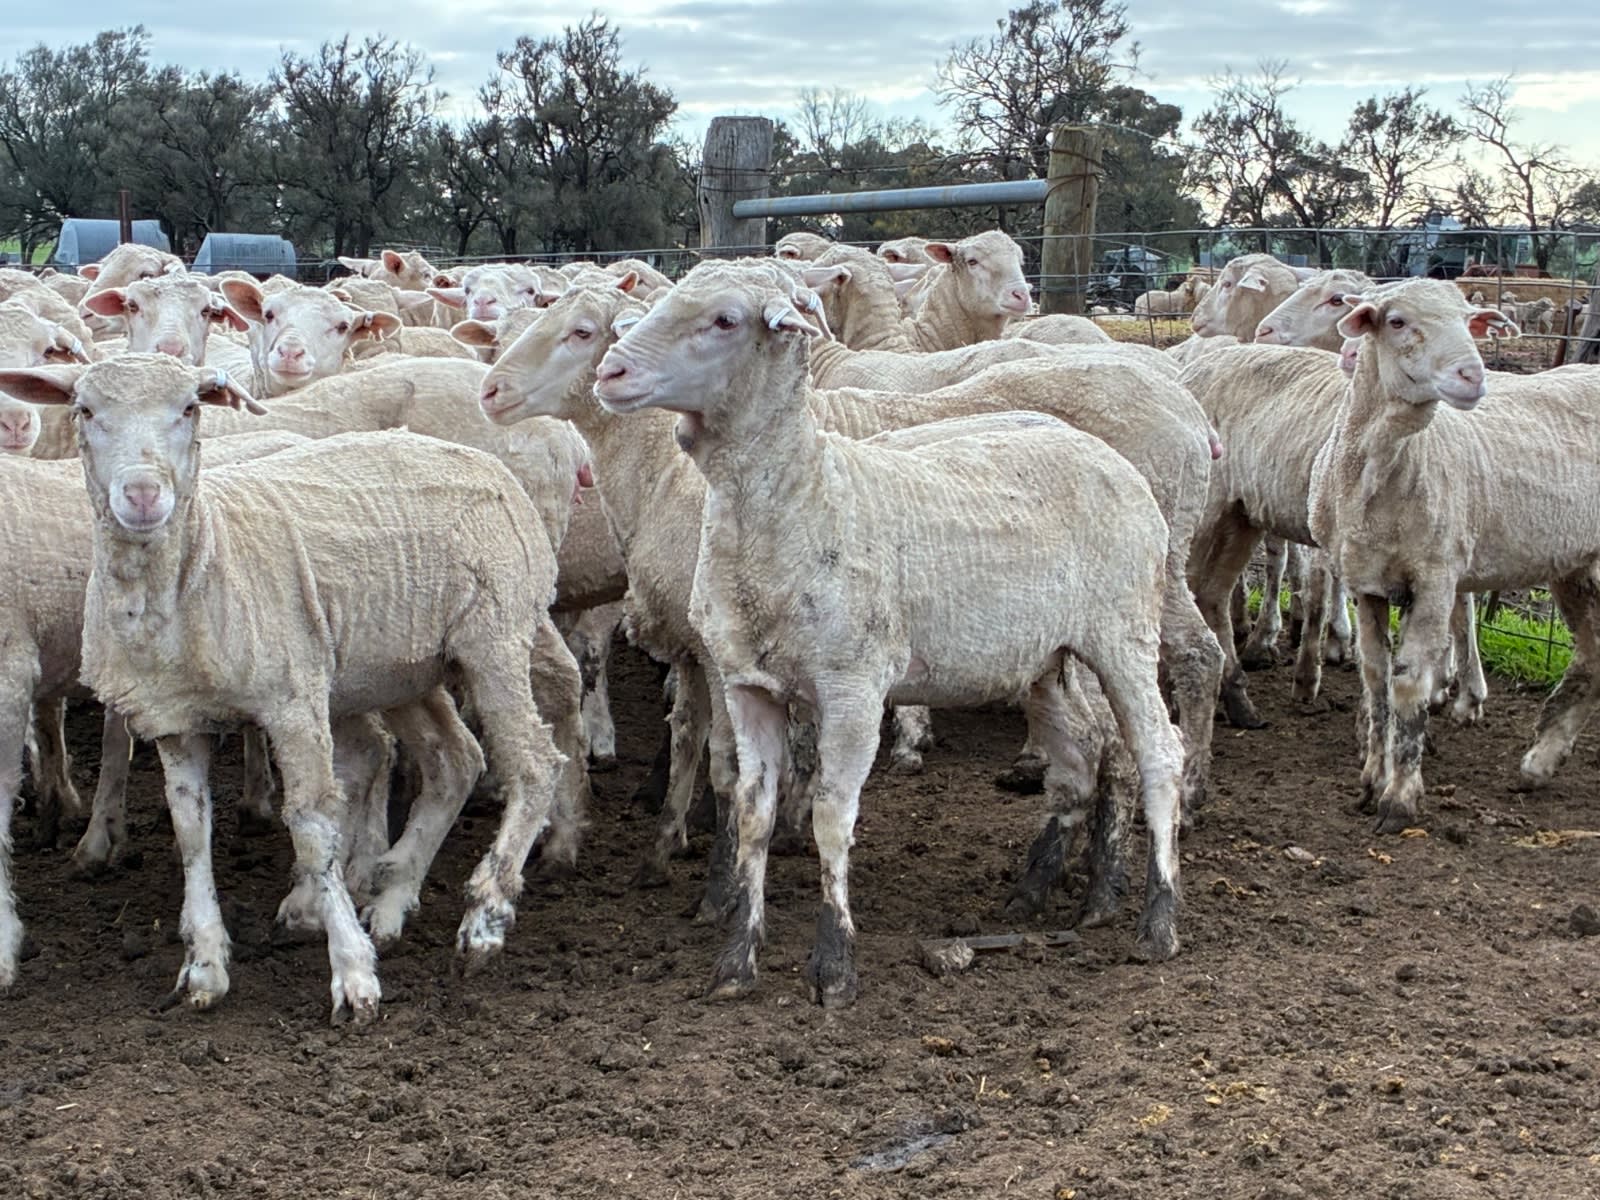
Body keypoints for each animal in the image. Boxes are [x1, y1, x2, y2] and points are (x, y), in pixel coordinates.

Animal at [0, 357, 584, 1017]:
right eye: (85, 410)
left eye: (190, 408)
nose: (144, 494)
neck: (204, 556)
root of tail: (479, 460)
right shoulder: (174, 718)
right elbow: (191, 832)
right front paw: (205, 966)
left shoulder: (293, 701)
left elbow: (309, 825)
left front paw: (352, 973)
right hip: (402, 667)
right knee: (454, 760)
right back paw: (392, 897)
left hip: (494, 634)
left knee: (534, 762)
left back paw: (485, 915)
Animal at [591, 260, 1185, 1005]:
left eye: (725, 320)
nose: (610, 371)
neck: (808, 499)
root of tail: (1108, 457)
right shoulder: (747, 684)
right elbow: (753, 814)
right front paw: (736, 961)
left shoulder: (852, 688)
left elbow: (830, 816)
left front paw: (833, 964)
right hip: (1044, 659)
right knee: (1077, 762)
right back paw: (1032, 892)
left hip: (1123, 633)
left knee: (1159, 753)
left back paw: (1157, 922)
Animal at [1309, 280, 1600, 832]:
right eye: (1396, 321)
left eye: (1470, 322)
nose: (1473, 375)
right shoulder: (1365, 582)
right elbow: (1375, 679)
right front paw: (1372, 778)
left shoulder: (1436, 576)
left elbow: (1409, 686)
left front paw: (1400, 798)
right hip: (1577, 564)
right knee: (1594, 653)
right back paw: (1541, 760)